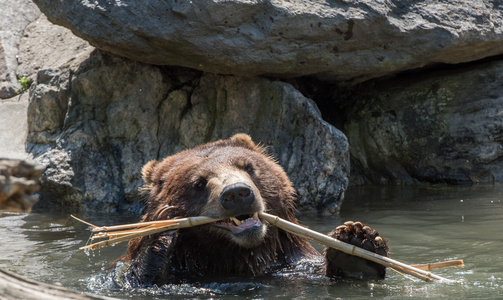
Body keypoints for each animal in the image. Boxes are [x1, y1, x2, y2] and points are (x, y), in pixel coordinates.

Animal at [119, 134, 390, 286]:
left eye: (248, 167)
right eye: (198, 182)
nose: (237, 193)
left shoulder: (293, 264)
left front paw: (356, 244)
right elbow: (134, 279)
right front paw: (164, 226)